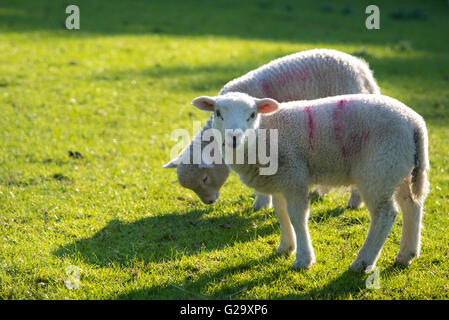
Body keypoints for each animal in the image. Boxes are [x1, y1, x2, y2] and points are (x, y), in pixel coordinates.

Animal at [191, 91, 428, 272]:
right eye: (218, 113)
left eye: (252, 114)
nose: (234, 137)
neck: (264, 134)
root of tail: (415, 123)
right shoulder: (280, 181)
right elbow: (281, 213)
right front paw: (285, 247)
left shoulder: (294, 175)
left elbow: (297, 217)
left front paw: (303, 260)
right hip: (398, 168)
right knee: (412, 205)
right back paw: (406, 255)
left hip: (379, 169)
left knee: (385, 214)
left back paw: (362, 262)